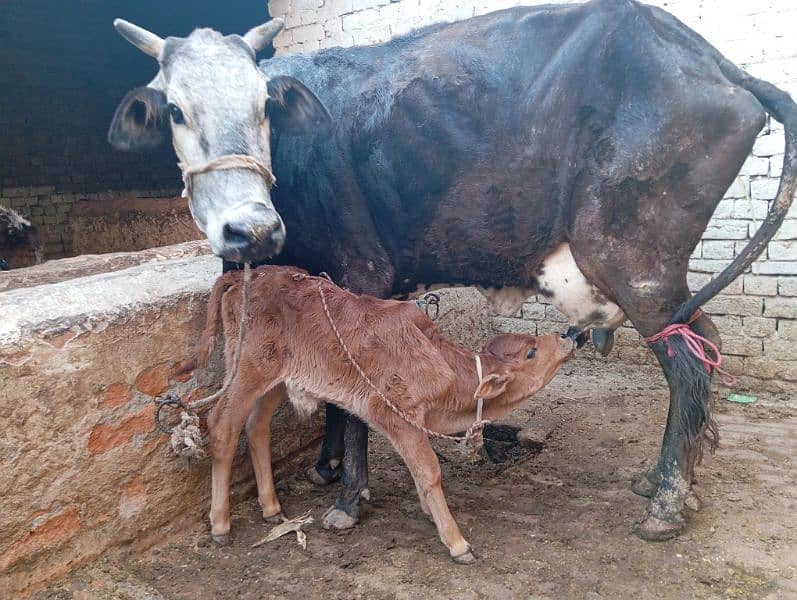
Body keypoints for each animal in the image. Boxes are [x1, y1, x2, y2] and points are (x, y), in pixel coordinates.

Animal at [199, 268, 572, 564]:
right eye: (531, 352)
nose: (567, 335)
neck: (443, 371)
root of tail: (243, 274)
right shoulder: (395, 413)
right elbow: (430, 471)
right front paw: (456, 542)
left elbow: (419, 471)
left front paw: (430, 513)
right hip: (248, 368)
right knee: (222, 425)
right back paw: (220, 524)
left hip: (277, 379)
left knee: (256, 426)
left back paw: (272, 508)